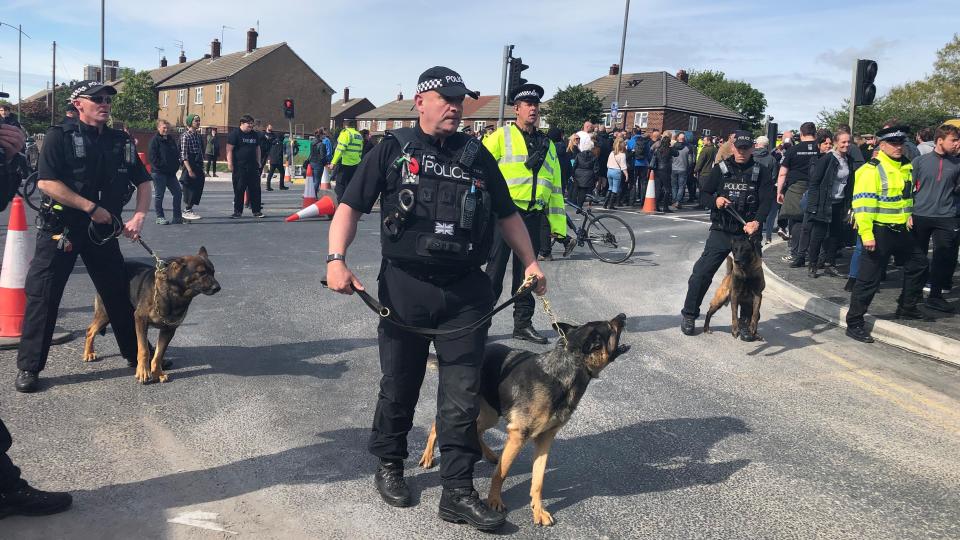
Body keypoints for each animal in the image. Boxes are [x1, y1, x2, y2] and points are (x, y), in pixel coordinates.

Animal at [82, 247, 221, 382]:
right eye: (202, 272)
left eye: (213, 272)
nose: (218, 288)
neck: (173, 293)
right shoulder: (140, 320)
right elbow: (144, 350)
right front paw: (143, 371)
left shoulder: (169, 330)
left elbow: (158, 354)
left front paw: (157, 373)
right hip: (106, 313)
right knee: (90, 330)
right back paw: (89, 353)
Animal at [420, 314, 632, 524]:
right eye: (610, 327)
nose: (622, 316)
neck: (566, 365)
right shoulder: (518, 435)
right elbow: (501, 473)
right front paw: (494, 501)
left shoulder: (545, 439)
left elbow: (538, 480)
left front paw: (538, 510)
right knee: (437, 425)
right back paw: (428, 455)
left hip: (491, 415)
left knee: (477, 429)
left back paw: (490, 455)